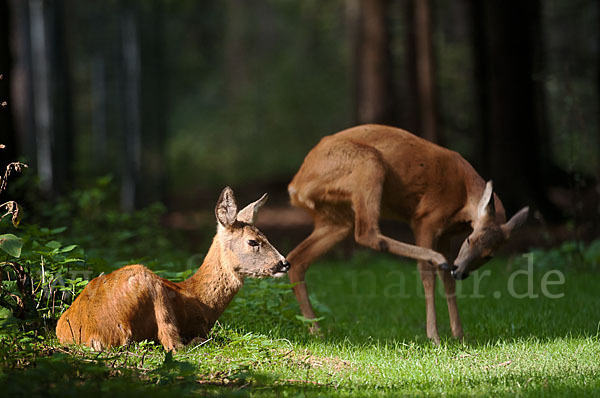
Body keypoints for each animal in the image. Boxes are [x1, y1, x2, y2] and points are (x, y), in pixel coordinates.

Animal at [56, 187, 290, 352]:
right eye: (253, 241)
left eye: (266, 236)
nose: (284, 263)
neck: (201, 301)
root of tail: (93, 335)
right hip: (151, 286)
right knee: (174, 345)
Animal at [288, 124, 528, 342]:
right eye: (469, 240)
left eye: (489, 256)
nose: (460, 272)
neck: (463, 195)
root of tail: (295, 186)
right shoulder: (426, 218)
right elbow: (427, 275)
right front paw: (434, 336)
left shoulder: (446, 234)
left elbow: (447, 282)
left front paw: (459, 335)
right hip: (369, 163)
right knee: (367, 233)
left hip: (336, 217)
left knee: (297, 259)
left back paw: (315, 330)